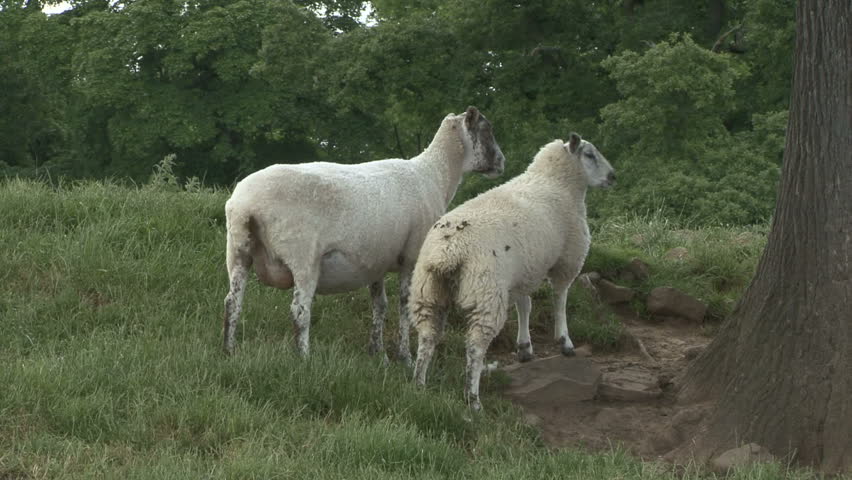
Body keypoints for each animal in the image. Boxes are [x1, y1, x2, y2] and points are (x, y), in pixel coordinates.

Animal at [222, 107, 505, 363]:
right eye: (486, 129)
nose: (502, 162)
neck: (435, 175)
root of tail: (247, 204)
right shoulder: (411, 256)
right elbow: (404, 305)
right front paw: (405, 356)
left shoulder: (375, 261)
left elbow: (379, 304)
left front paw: (377, 352)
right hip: (302, 256)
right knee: (300, 310)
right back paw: (303, 360)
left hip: (237, 251)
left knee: (232, 302)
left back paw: (229, 351)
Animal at [409, 133, 614, 410]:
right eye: (590, 154)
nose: (613, 176)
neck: (556, 182)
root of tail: (448, 251)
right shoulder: (567, 260)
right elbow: (560, 300)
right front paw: (564, 341)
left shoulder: (524, 269)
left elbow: (524, 305)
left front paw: (525, 347)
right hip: (485, 294)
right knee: (475, 349)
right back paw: (473, 400)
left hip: (427, 292)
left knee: (427, 338)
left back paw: (419, 385)